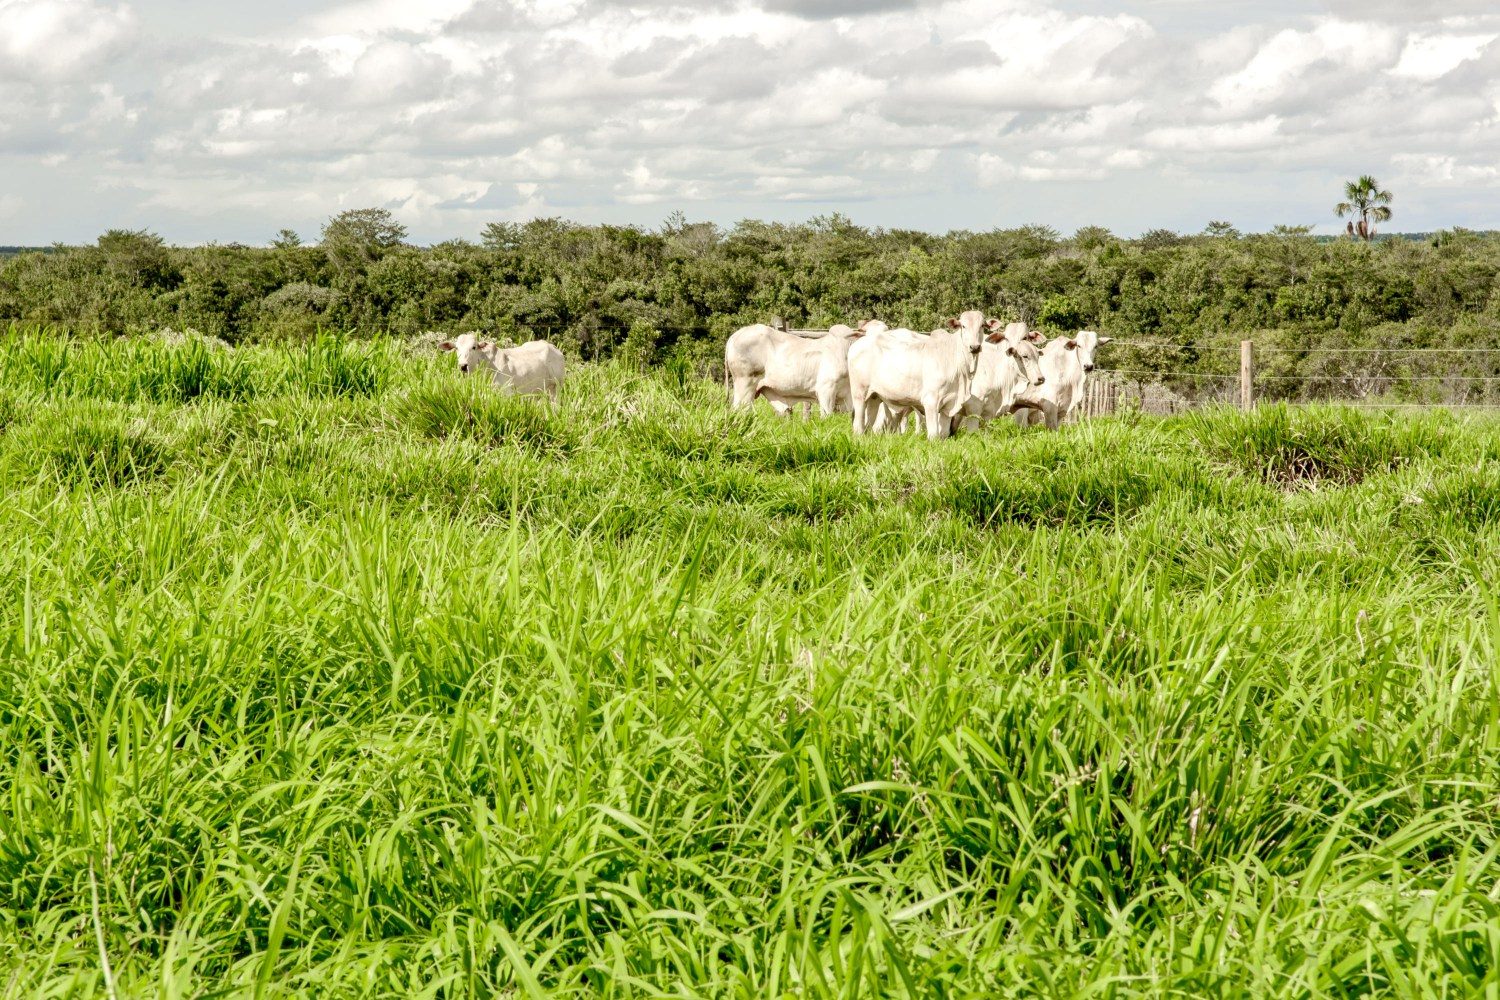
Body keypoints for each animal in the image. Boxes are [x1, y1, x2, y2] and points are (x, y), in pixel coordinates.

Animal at [852, 310, 990, 440]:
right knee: (858, 423)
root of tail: (857, 344)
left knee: (869, 422)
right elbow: (934, 434)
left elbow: (944, 434)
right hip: (859, 394)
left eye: (982, 325)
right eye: (963, 326)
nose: (975, 347)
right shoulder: (931, 401)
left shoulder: (948, 404)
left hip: (874, 396)